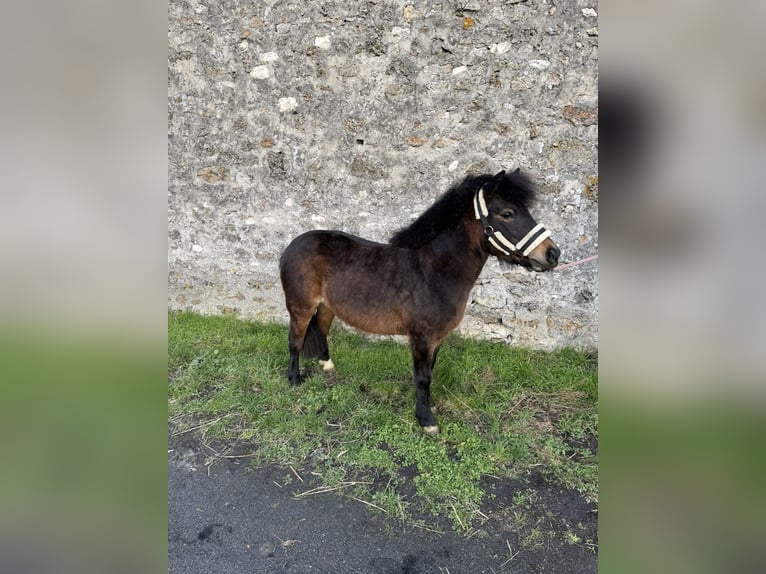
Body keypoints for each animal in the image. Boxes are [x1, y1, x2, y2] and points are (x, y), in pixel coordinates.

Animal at [279, 169, 560, 435]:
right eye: (508, 213)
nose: (552, 254)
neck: (433, 271)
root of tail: (293, 245)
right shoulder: (422, 338)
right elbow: (422, 376)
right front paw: (426, 421)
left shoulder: (437, 338)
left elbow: (430, 372)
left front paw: (429, 404)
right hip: (301, 308)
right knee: (295, 342)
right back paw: (294, 380)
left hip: (327, 307)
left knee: (321, 330)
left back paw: (327, 366)